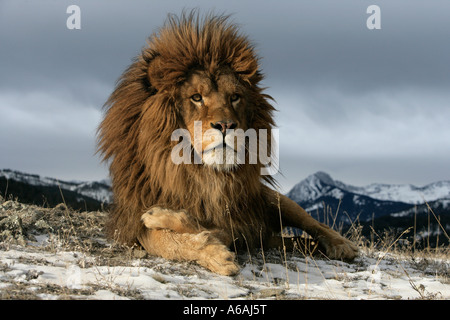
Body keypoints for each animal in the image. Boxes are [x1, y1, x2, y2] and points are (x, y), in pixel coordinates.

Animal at [98, 11, 358, 276]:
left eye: (234, 97)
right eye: (196, 97)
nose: (225, 125)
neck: (202, 175)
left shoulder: (239, 223)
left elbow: (207, 228)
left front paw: (166, 219)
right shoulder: (134, 223)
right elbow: (168, 240)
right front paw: (213, 252)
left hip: (274, 200)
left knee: (314, 224)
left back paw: (342, 245)